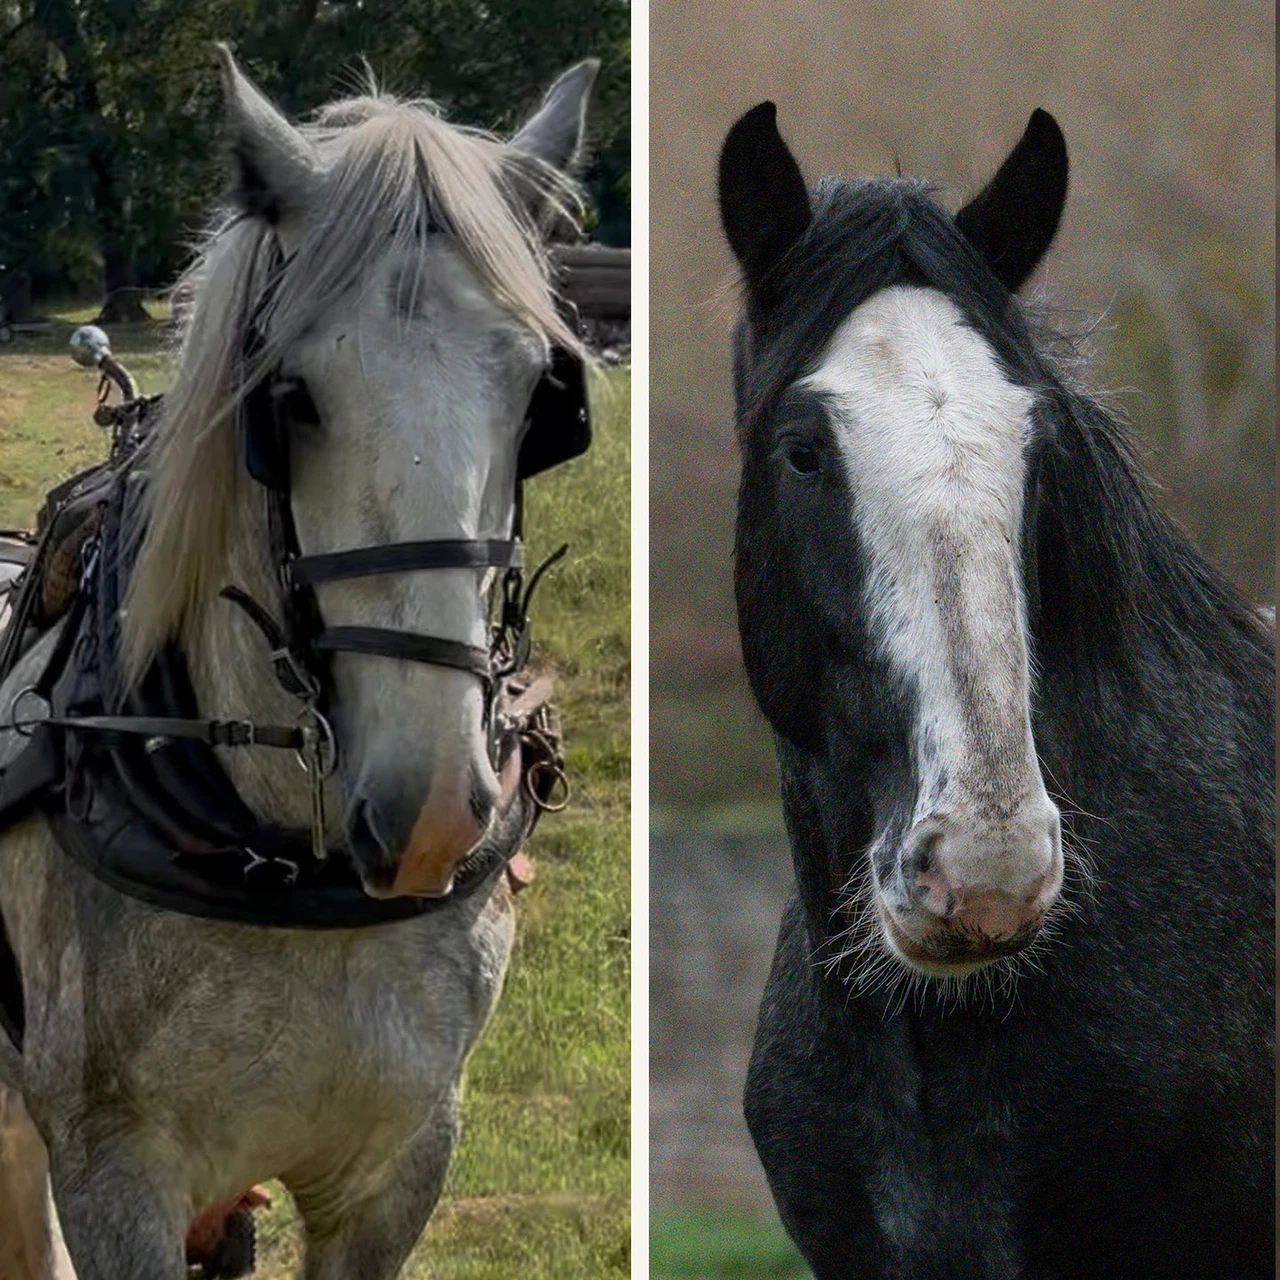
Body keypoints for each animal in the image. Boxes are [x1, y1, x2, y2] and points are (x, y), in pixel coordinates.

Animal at [0, 44, 596, 1279]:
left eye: (541, 397)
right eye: (288, 398)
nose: (428, 806)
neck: (283, 859)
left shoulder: (401, 1162)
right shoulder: (110, 1171)